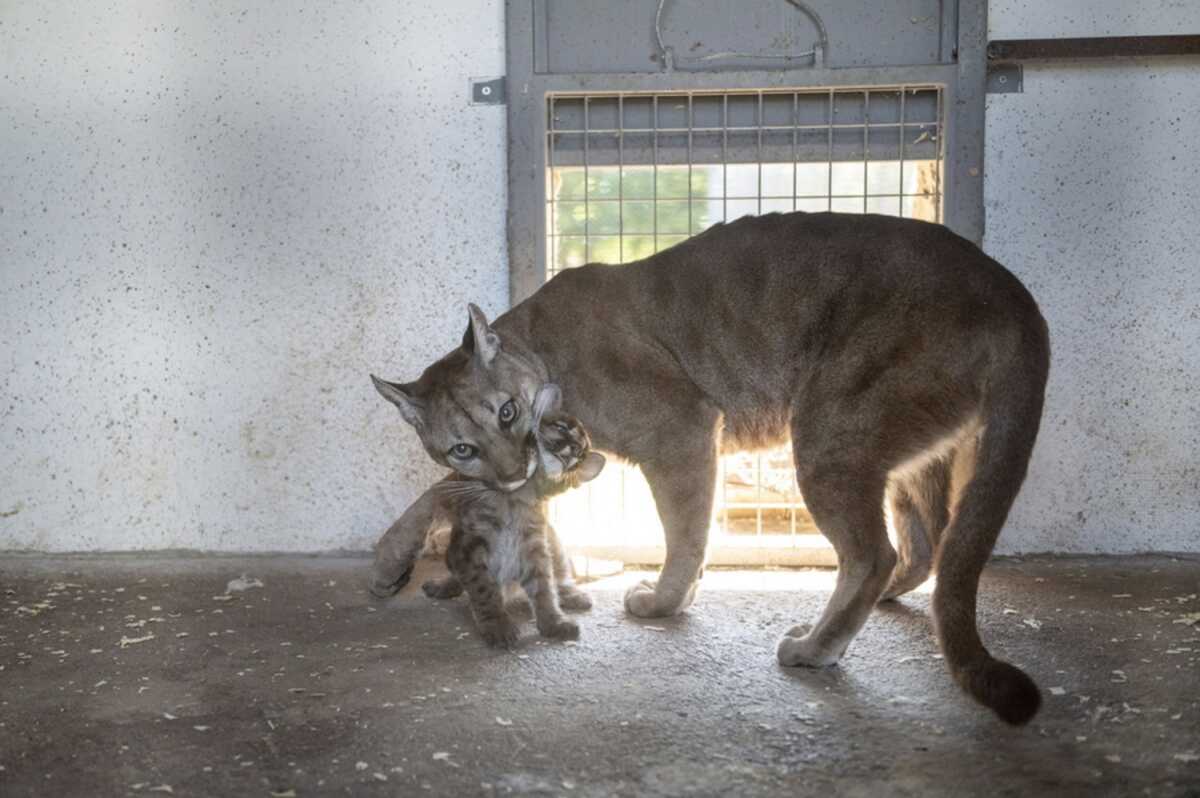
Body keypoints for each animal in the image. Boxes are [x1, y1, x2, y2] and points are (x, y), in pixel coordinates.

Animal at [367, 210, 1051, 720]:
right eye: (462, 446)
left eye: (506, 412)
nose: (510, 470)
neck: (541, 346)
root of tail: (1013, 292)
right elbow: (443, 495)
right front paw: (393, 561)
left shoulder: (681, 429)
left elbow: (684, 528)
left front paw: (664, 601)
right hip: (897, 445)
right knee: (924, 541)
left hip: (831, 430)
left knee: (872, 553)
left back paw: (813, 647)